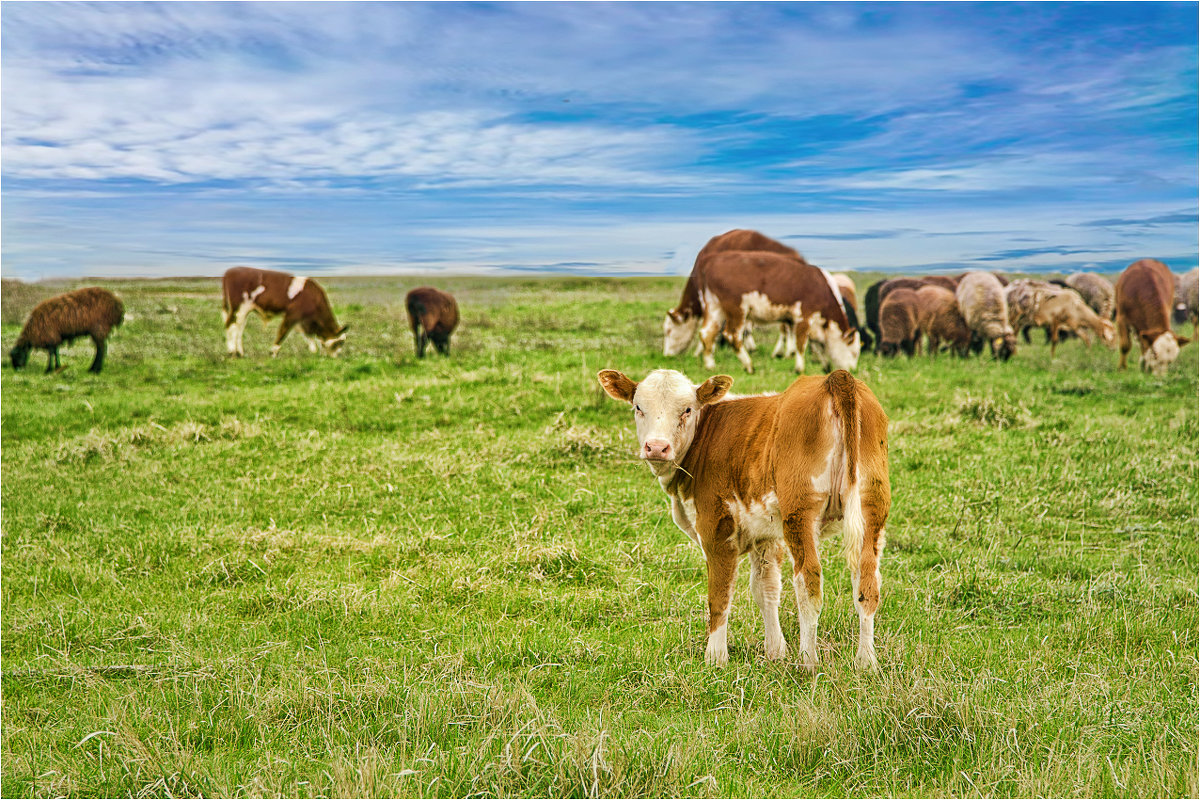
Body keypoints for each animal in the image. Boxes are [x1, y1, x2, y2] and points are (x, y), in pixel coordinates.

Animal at [220, 267, 348, 357]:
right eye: (339, 343)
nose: (337, 356)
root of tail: (229, 272)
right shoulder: (292, 314)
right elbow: (283, 332)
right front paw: (273, 353)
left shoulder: (303, 320)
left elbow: (307, 334)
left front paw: (313, 350)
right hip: (239, 308)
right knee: (231, 325)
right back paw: (232, 352)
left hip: (243, 310)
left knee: (238, 328)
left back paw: (239, 352)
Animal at [600, 369, 892, 671]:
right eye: (638, 407)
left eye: (687, 409)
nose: (657, 447)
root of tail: (836, 378)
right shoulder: (765, 535)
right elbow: (766, 590)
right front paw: (775, 651)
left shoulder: (717, 529)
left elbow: (719, 596)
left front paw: (715, 658)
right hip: (872, 506)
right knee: (867, 584)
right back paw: (866, 662)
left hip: (800, 513)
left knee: (808, 585)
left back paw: (808, 662)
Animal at [696, 251, 864, 374]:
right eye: (854, 353)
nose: (852, 370)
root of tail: (711, 260)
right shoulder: (803, 316)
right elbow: (801, 343)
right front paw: (799, 368)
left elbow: (816, 344)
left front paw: (825, 366)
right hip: (737, 309)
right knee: (733, 335)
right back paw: (749, 365)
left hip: (714, 307)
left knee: (707, 332)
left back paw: (710, 365)